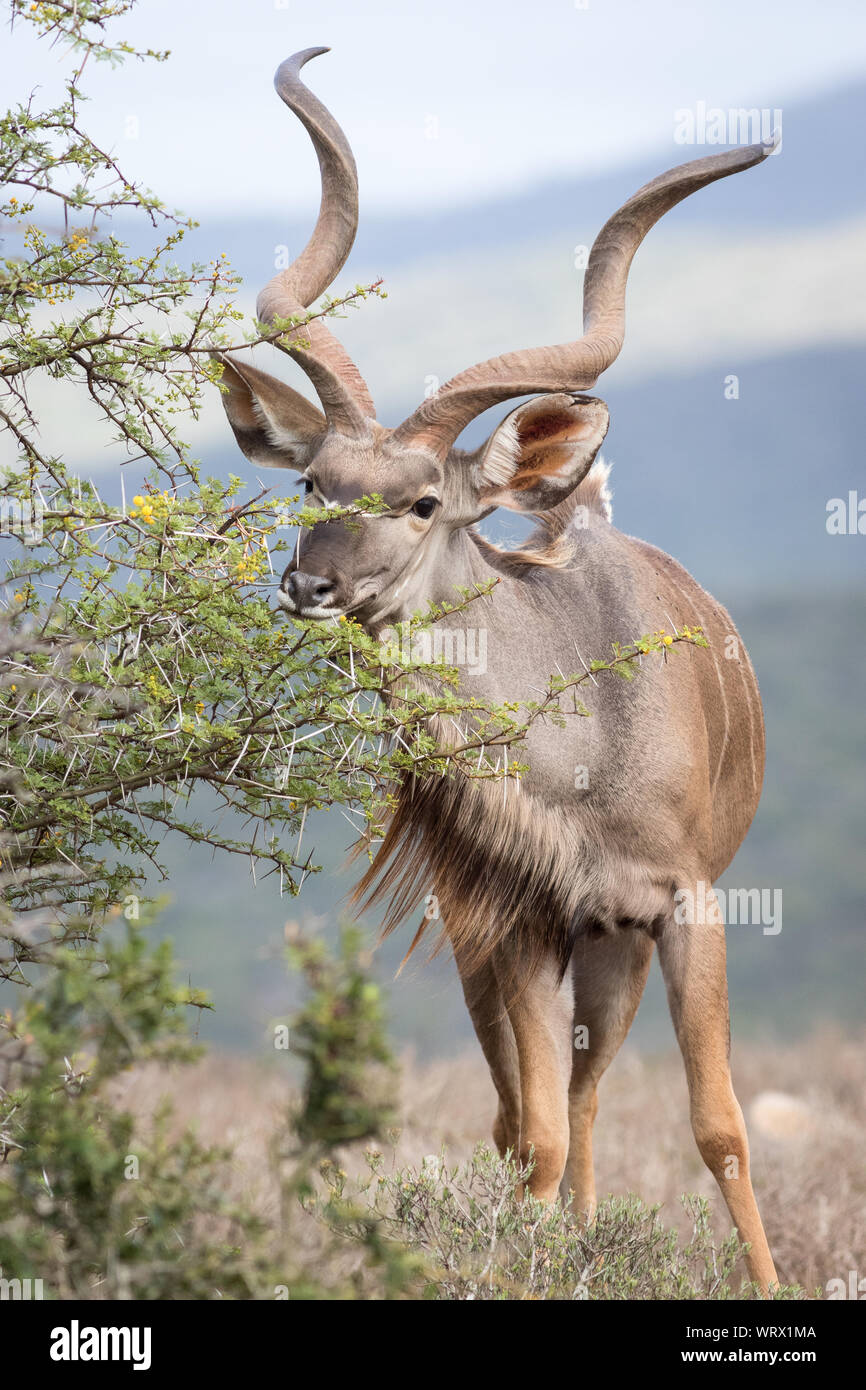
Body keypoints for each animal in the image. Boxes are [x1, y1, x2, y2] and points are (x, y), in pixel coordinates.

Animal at [216, 48, 778, 1284]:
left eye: (424, 501)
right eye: (313, 484)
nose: (310, 585)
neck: (583, 748)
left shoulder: (684, 905)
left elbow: (718, 1124)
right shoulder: (515, 924)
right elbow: (535, 1133)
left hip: (611, 949)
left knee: (591, 1094)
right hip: (513, 941)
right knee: (539, 1113)